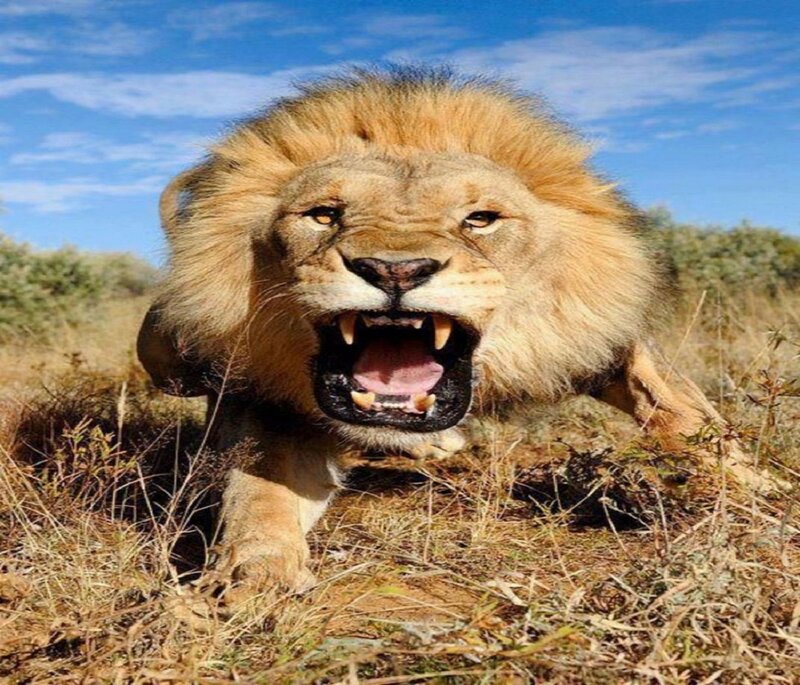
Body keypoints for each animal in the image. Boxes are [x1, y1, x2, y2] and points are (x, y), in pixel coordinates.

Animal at [137, 68, 777, 596]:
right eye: (324, 215)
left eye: (480, 219)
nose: (394, 270)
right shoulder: (271, 398)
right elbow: (261, 491)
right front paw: (250, 574)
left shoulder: (604, 339)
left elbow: (689, 418)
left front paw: (764, 497)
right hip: (169, 348)